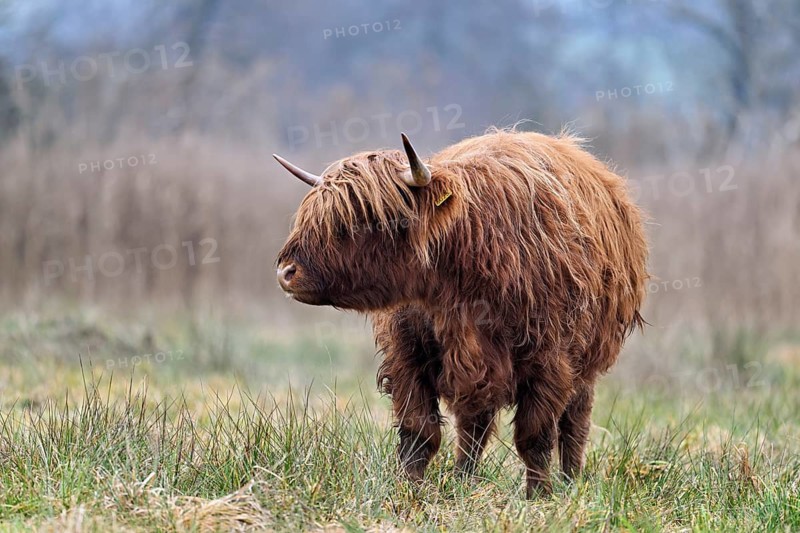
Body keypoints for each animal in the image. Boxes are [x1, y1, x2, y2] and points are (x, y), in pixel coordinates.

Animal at [274, 128, 648, 497]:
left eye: (365, 217)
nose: (287, 271)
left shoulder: (550, 359)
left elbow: (535, 435)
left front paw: (538, 497)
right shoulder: (407, 354)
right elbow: (419, 432)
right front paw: (409, 490)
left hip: (587, 360)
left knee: (574, 423)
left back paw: (570, 481)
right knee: (474, 427)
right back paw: (463, 480)